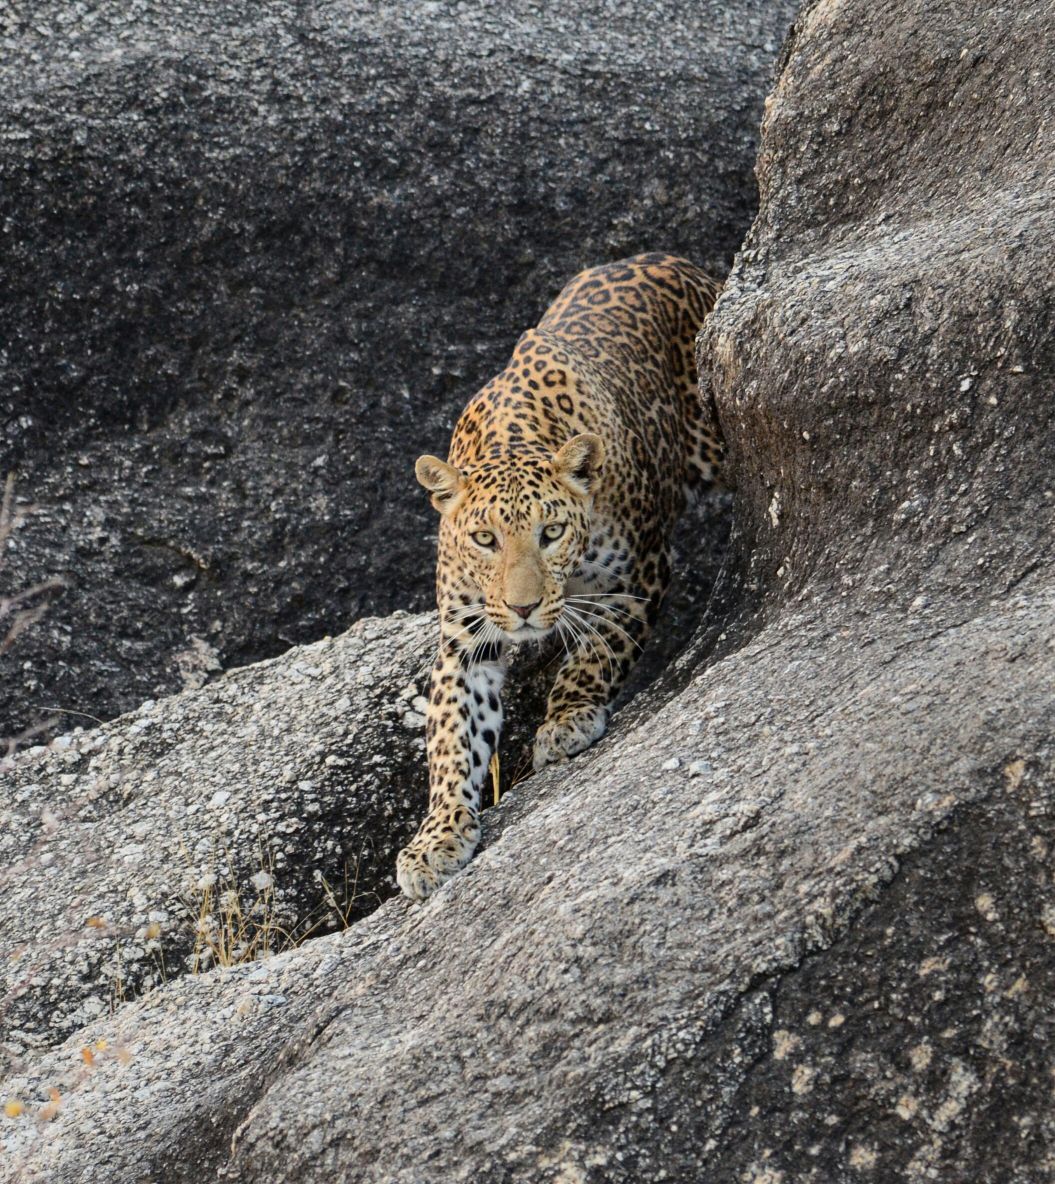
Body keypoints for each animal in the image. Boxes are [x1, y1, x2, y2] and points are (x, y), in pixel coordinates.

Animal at [396, 252, 723, 901]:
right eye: (485, 540)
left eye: (550, 533)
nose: (523, 610)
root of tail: (670, 260)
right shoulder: (463, 640)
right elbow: (451, 740)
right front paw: (436, 839)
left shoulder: (638, 576)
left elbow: (597, 653)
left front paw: (566, 720)